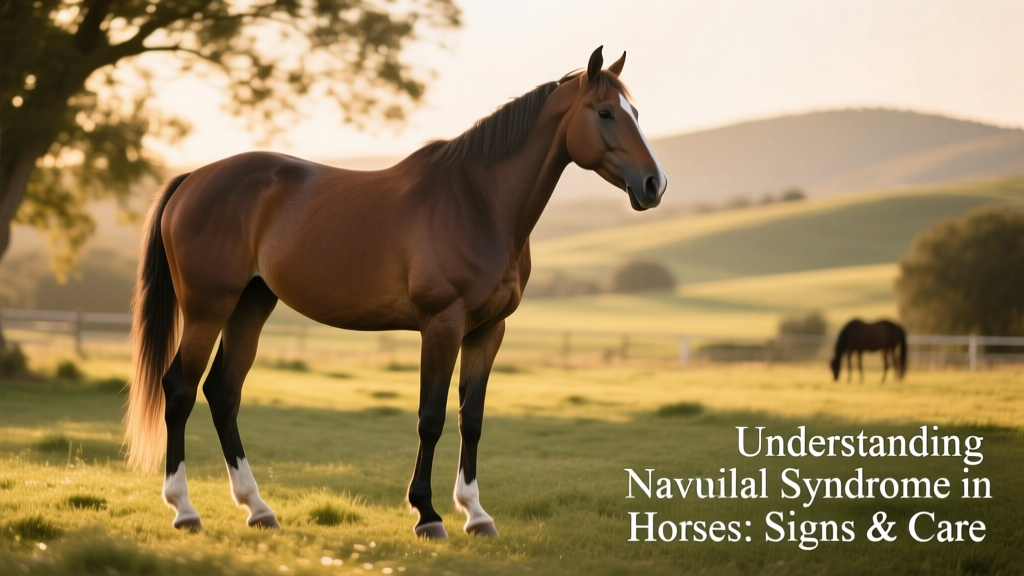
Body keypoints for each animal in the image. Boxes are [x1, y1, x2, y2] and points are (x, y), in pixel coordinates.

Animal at [125, 46, 667, 539]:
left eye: (636, 113)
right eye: (605, 112)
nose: (654, 184)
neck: (478, 204)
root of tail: (192, 178)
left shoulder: (488, 331)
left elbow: (472, 418)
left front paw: (476, 514)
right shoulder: (441, 325)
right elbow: (431, 418)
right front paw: (428, 514)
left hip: (250, 305)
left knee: (223, 392)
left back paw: (258, 509)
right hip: (207, 308)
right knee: (179, 389)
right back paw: (185, 510)